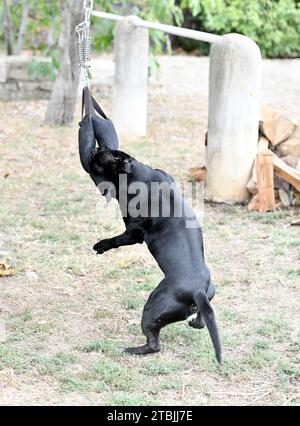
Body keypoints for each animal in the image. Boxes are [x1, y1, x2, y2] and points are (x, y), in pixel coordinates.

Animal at [88, 148, 220, 362]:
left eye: (100, 157)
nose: (94, 149)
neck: (137, 174)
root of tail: (198, 290)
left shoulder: (133, 233)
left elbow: (116, 240)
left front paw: (101, 245)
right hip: (209, 295)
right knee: (202, 318)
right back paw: (194, 322)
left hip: (151, 309)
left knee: (154, 344)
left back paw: (132, 350)